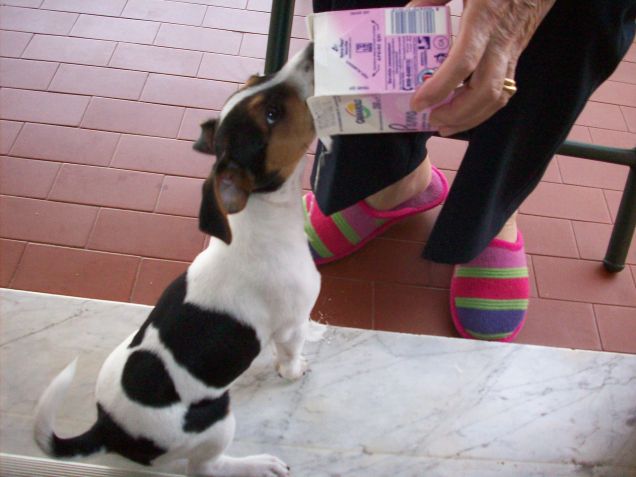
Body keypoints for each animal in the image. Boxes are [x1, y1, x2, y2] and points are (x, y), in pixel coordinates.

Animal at [34, 43, 319, 477]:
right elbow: (289, 356)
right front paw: (296, 369)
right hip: (217, 418)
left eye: (257, 77)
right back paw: (257, 463)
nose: (313, 49)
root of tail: (106, 429)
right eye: (272, 114)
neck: (260, 217)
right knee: (206, 467)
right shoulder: (291, 325)